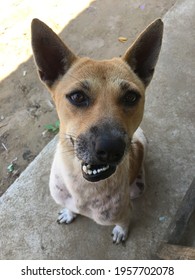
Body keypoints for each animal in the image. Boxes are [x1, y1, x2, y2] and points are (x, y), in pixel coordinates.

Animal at [31, 18, 164, 244]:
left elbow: (124, 221)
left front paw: (121, 231)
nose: (110, 149)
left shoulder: (124, 211)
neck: (82, 186)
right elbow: (69, 207)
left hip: (138, 186)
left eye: (131, 97)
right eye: (77, 97)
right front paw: (69, 212)